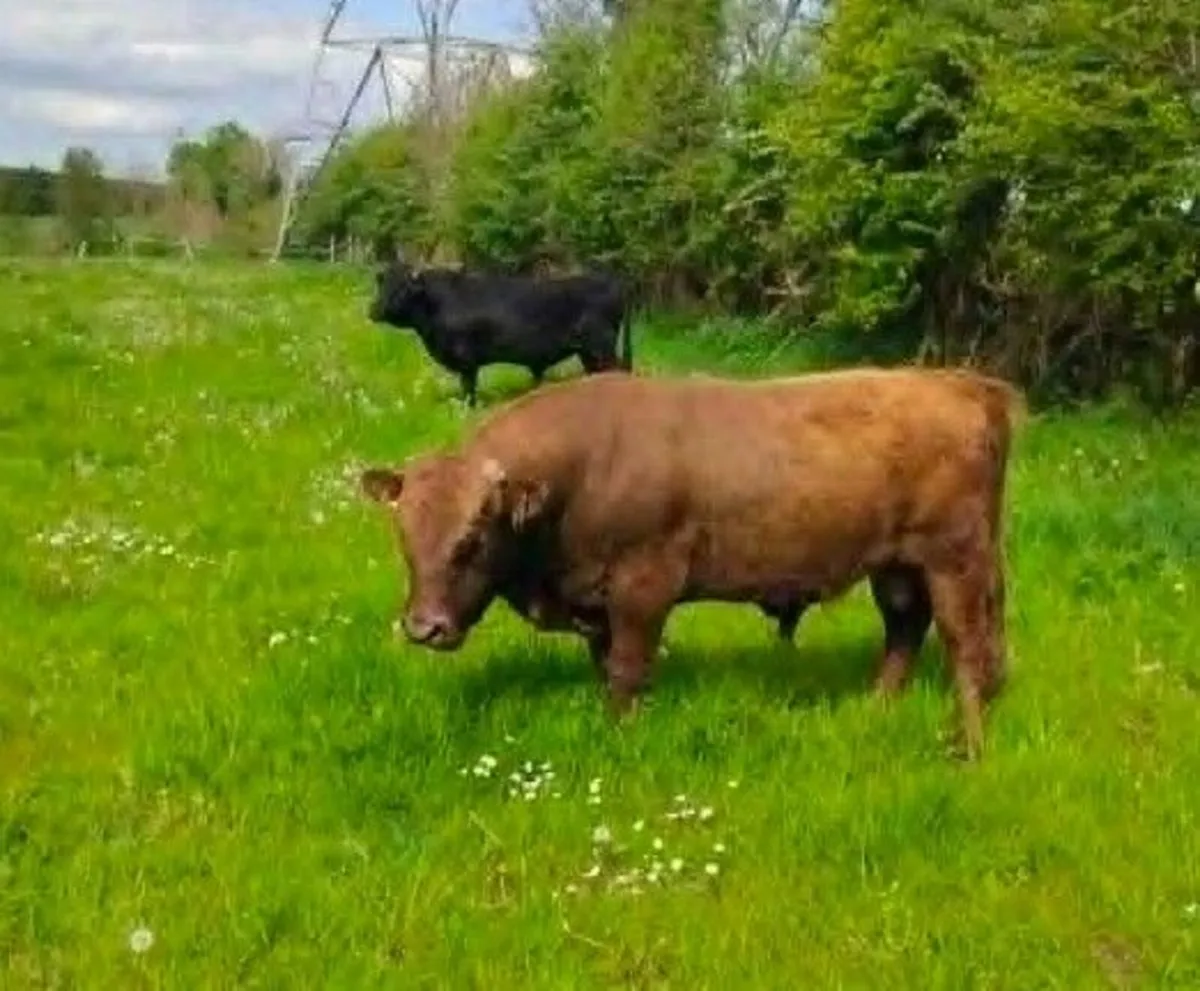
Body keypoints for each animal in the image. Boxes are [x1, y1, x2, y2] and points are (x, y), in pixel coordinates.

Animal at [358, 366, 1023, 760]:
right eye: (405, 535)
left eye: (472, 537)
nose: (425, 627)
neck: (585, 467)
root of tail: (959, 383)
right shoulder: (599, 600)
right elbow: (607, 666)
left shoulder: (644, 588)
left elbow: (628, 669)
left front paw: (621, 737)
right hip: (897, 565)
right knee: (906, 629)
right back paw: (875, 708)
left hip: (955, 560)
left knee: (967, 647)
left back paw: (968, 747)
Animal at [367, 262, 633, 407]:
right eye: (383, 285)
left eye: (402, 289)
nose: (374, 310)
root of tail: (614, 281)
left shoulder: (466, 360)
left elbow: (468, 389)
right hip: (588, 352)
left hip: (602, 346)